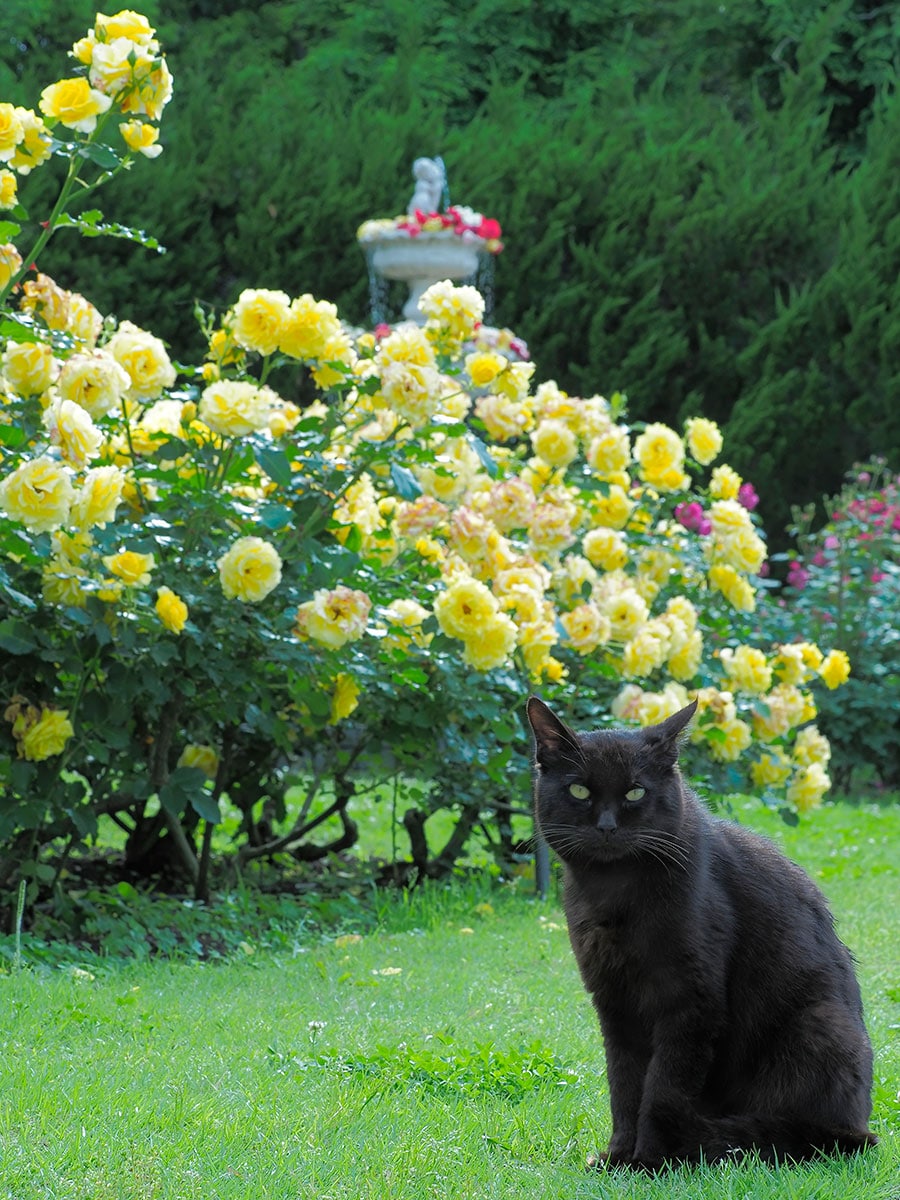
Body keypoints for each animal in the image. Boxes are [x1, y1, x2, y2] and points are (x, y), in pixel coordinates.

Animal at [525, 696, 878, 1171]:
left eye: (636, 791)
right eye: (579, 790)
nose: (607, 827)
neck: (616, 892)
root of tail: (858, 1122)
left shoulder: (691, 1001)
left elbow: (662, 1089)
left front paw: (650, 1161)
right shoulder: (614, 1001)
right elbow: (624, 1084)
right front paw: (620, 1157)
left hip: (819, 1025)